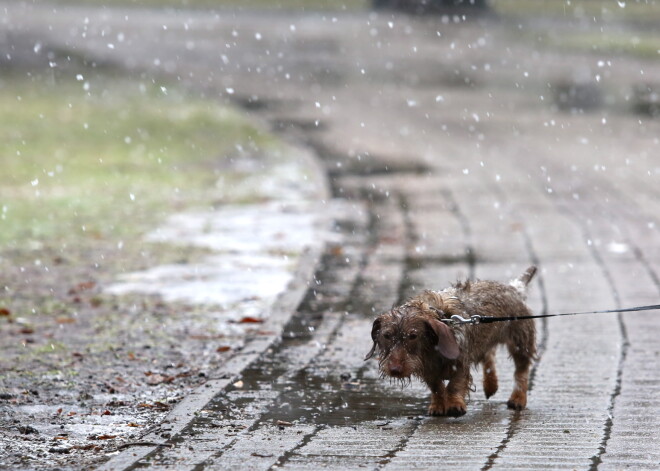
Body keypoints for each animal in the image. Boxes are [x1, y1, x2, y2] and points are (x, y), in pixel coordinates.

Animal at [366, 268, 536, 418]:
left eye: (413, 336)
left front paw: (454, 404)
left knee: (521, 371)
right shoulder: (428, 370)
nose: (395, 369)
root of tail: (515, 287)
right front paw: (438, 405)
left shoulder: (460, 362)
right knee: (489, 356)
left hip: (521, 341)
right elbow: (436, 387)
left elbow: (455, 384)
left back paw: (518, 398)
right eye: (387, 335)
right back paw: (490, 385)